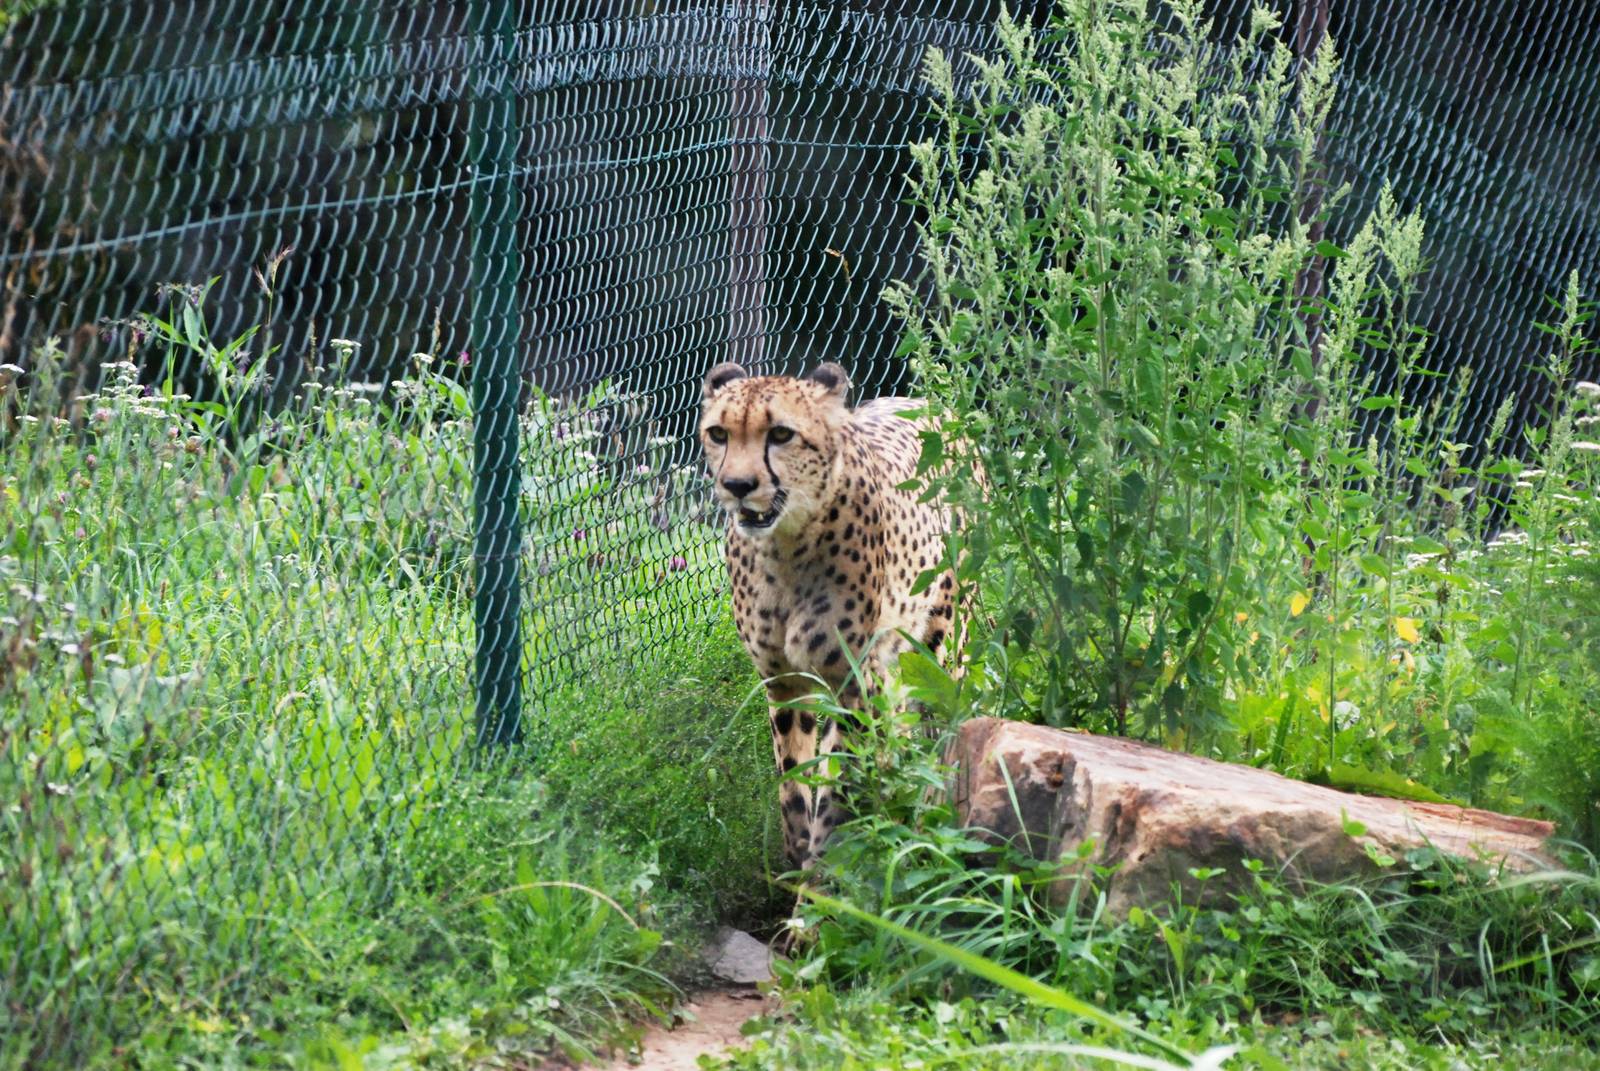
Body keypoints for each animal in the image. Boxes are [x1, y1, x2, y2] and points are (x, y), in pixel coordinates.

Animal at [698, 360, 962, 871]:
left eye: (781, 433)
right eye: (719, 433)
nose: (737, 487)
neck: (784, 549)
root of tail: (923, 400)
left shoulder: (854, 681)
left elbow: (840, 787)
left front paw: (825, 867)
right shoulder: (782, 681)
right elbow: (795, 775)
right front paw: (797, 852)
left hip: (940, 637)